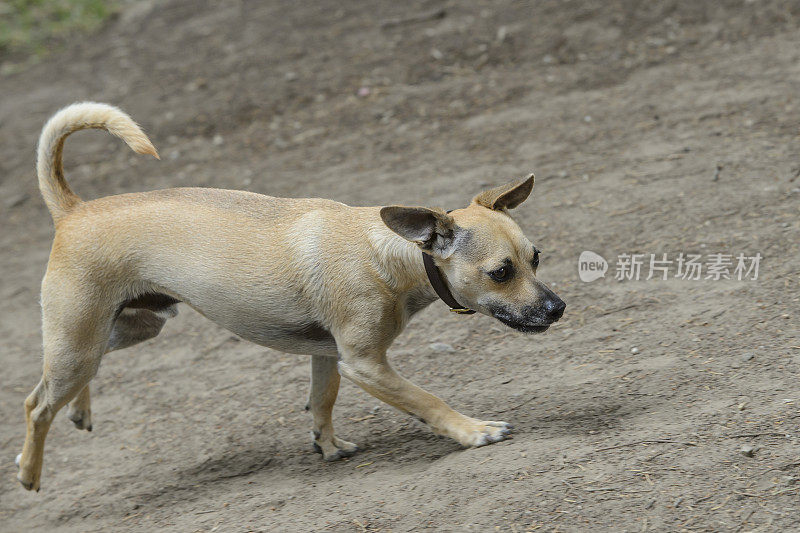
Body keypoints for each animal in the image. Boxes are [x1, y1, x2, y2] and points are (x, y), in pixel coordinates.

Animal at [14, 102, 564, 488]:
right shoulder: (365, 364)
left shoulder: (327, 356)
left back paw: (79, 410)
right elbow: (426, 399)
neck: (385, 252)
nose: (558, 308)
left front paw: (328, 444)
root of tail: (74, 210)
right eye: (501, 272)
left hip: (124, 330)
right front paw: (474, 431)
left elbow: (322, 402)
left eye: (536, 258)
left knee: (63, 380)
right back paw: (28, 470)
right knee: (36, 405)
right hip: (79, 341)